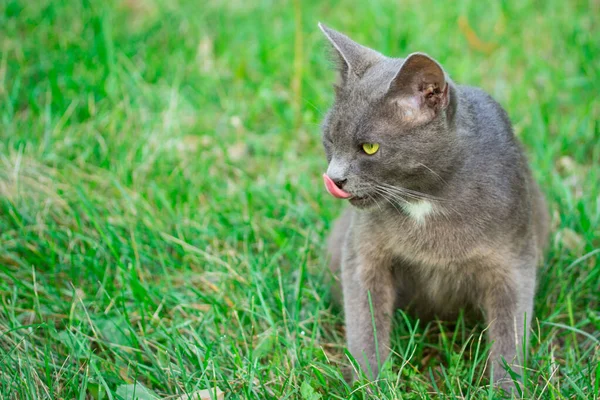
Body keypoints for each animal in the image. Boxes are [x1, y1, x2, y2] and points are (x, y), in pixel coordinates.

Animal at [318, 23, 548, 392]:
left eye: (369, 148)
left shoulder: (513, 260)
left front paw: (507, 390)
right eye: (329, 139)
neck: (425, 198)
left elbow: (509, 337)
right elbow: (365, 323)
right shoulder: (363, 253)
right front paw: (371, 385)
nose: (333, 178)